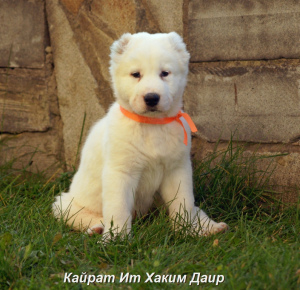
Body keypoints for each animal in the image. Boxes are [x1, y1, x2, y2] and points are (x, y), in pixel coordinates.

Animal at [53, 31, 227, 237]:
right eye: (136, 74)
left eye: (164, 73)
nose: (151, 98)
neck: (152, 125)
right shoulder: (120, 172)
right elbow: (118, 209)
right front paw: (117, 237)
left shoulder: (176, 169)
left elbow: (182, 202)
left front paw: (185, 229)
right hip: (65, 204)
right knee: (79, 215)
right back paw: (97, 228)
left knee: (194, 209)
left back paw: (210, 227)